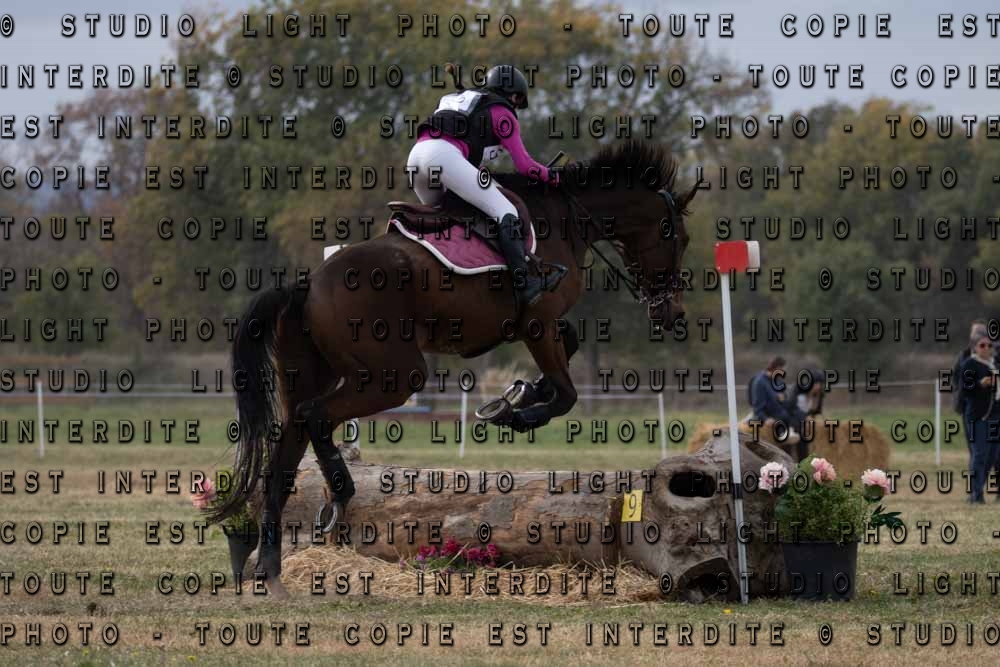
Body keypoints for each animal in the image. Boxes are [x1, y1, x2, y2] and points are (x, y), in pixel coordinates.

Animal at [207, 138, 699, 598]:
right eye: (678, 237)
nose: (673, 314)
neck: (567, 217)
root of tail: (308, 285)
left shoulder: (539, 325)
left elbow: (569, 352)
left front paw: (518, 393)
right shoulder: (537, 322)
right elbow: (566, 394)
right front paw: (514, 412)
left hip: (317, 374)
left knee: (287, 450)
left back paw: (271, 569)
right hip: (396, 375)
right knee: (316, 415)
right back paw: (340, 496)